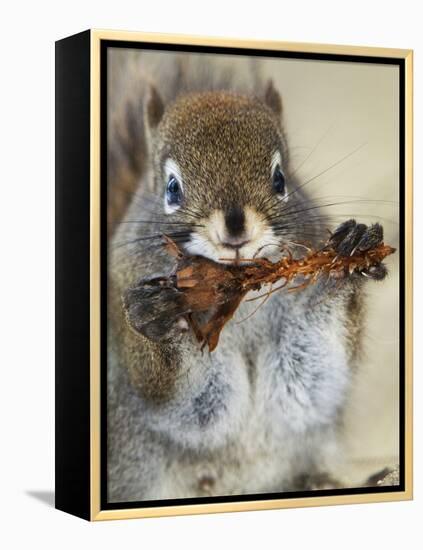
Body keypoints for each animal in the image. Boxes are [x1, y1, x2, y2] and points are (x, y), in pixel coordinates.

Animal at [108, 52, 390, 504]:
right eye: (172, 188)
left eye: (280, 179)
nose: (236, 227)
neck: (232, 291)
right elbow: (183, 402)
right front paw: (155, 317)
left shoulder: (304, 382)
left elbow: (312, 378)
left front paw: (346, 259)